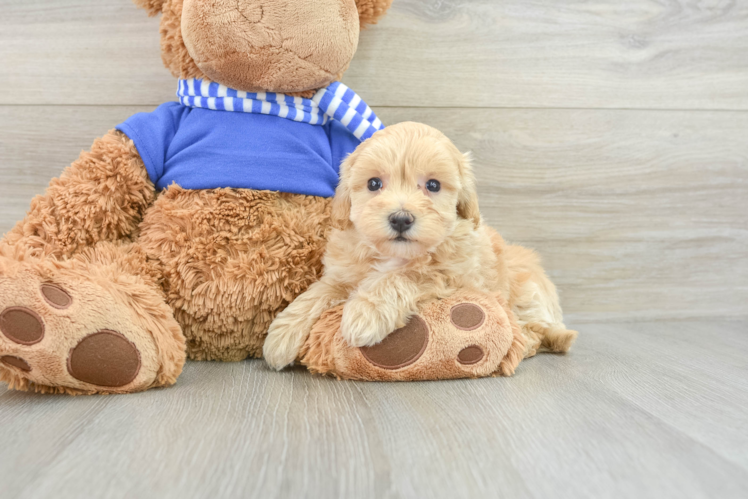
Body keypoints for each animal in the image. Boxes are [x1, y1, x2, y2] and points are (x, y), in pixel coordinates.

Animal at [262, 123, 580, 370]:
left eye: (433, 185)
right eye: (374, 183)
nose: (401, 218)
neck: (394, 254)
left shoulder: (454, 276)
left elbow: (404, 276)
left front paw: (365, 312)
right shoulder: (344, 273)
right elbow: (320, 291)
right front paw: (281, 334)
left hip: (526, 292)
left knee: (536, 330)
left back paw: (524, 344)